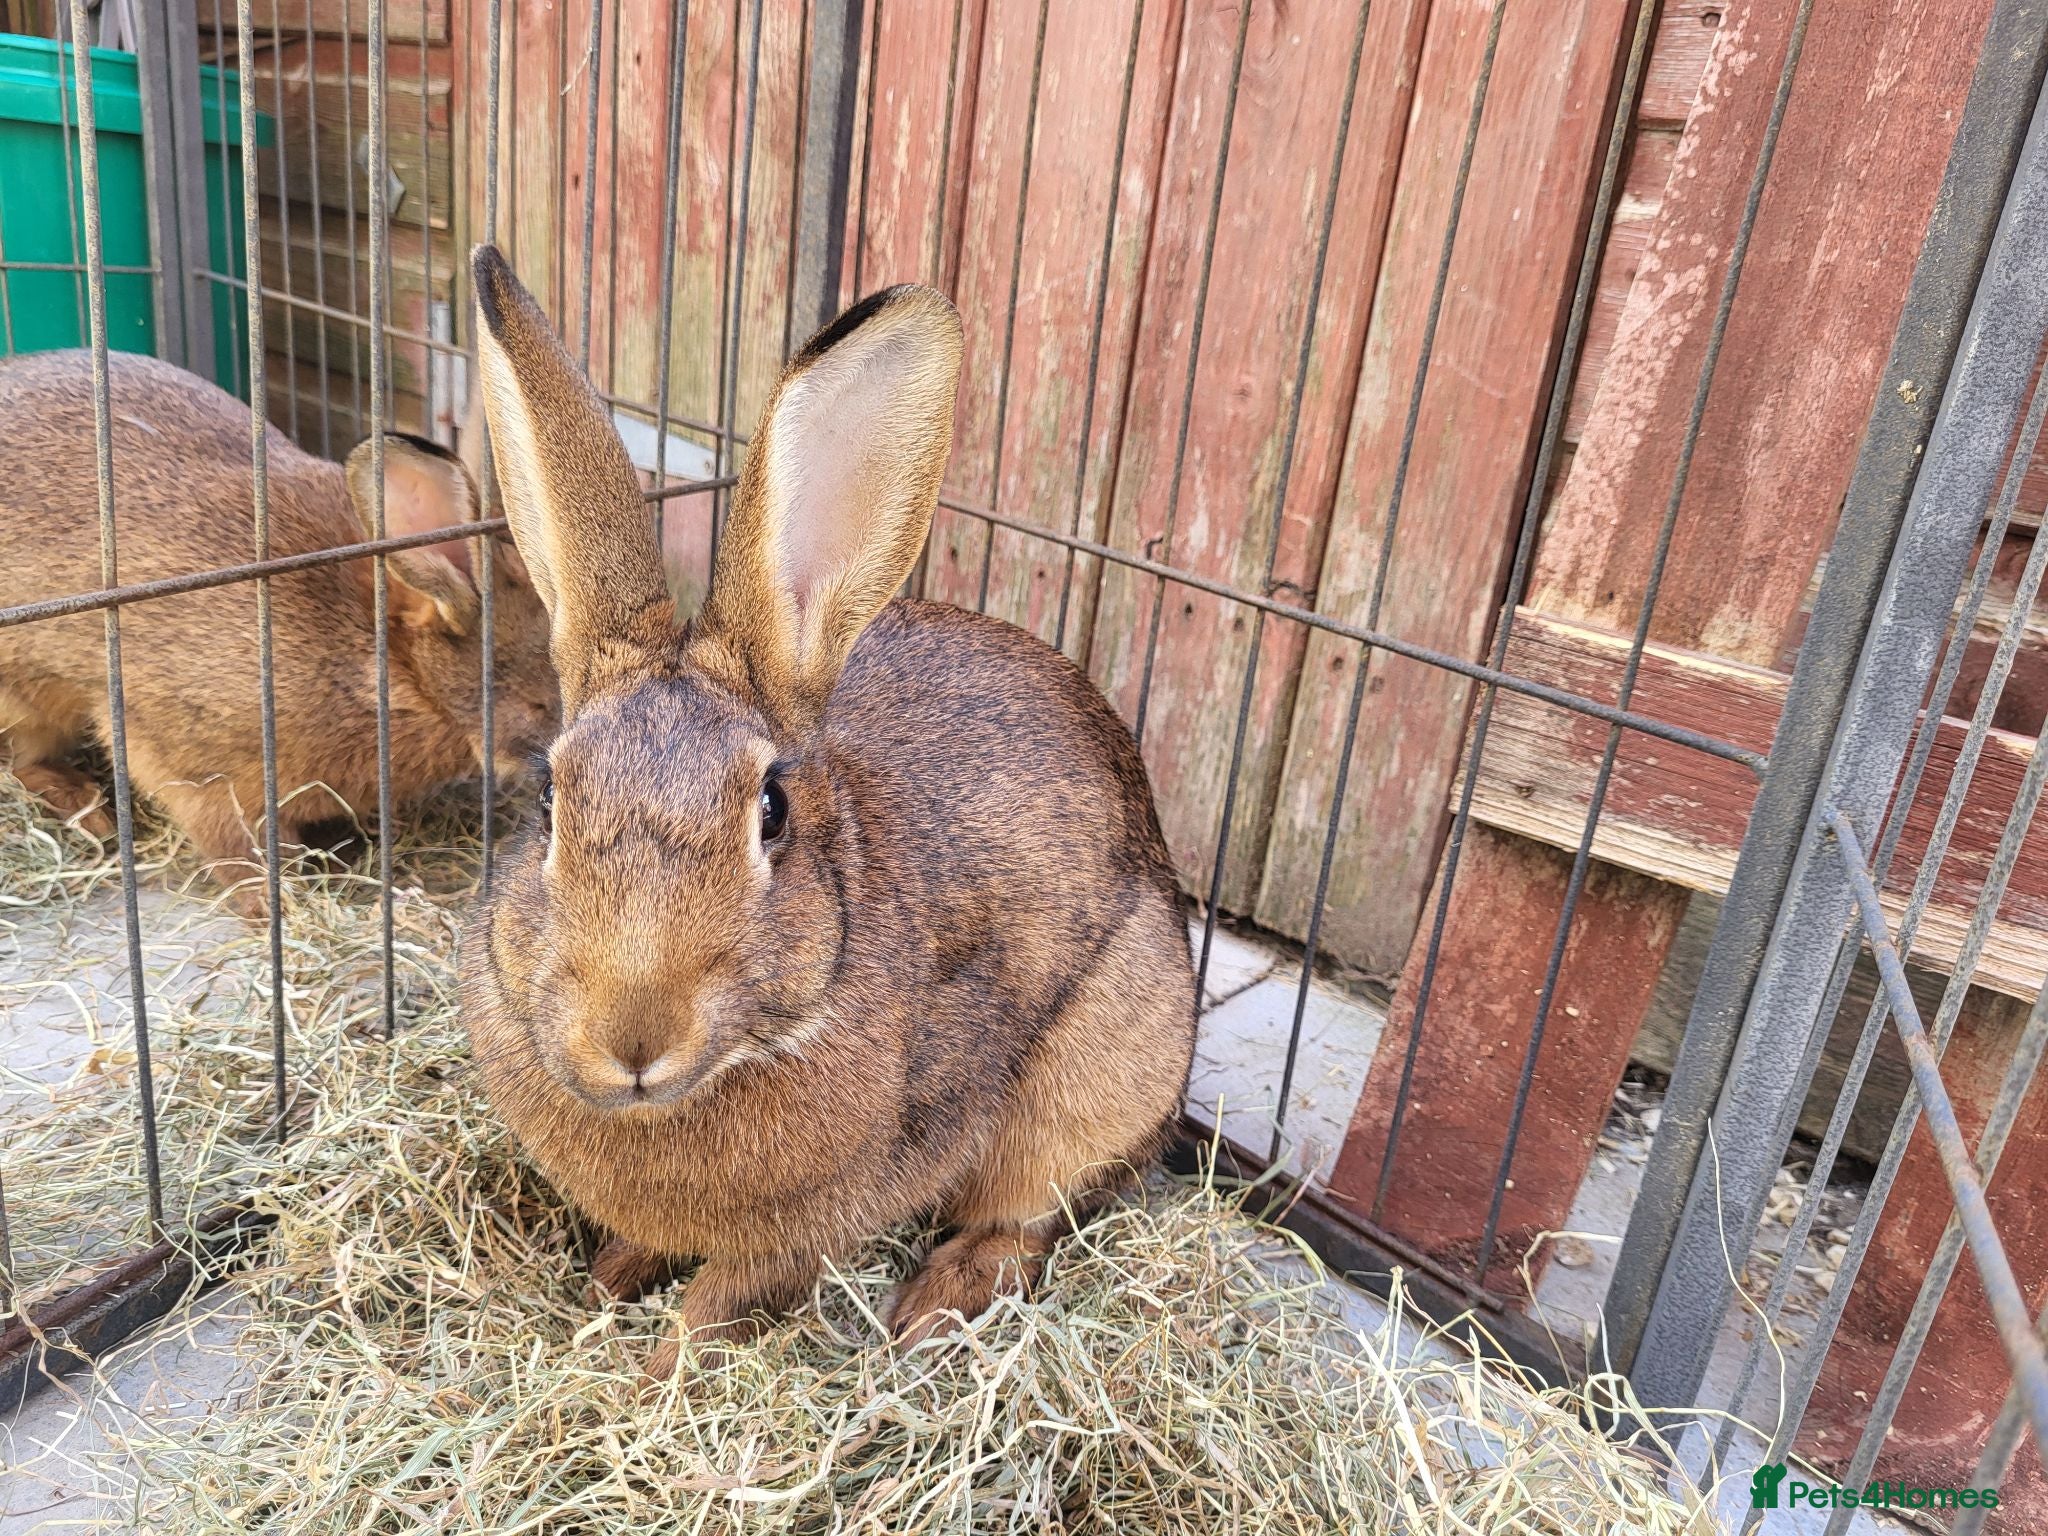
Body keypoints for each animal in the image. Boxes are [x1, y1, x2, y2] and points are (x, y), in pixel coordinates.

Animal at [0, 349, 559, 912]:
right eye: (540, 703)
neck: (391, 665)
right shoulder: (192, 763)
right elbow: (231, 841)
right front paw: (274, 903)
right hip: (24, 702)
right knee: (20, 761)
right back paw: (85, 807)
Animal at [459, 245, 1198, 1372]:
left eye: (771, 811)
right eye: (548, 799)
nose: (631, 1036)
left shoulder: (825, 1212)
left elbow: (726, 1298)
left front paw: (654, 1375)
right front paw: (609, 1278)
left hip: (1111, 1062)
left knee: (1033, 1214)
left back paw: (937, 1305)